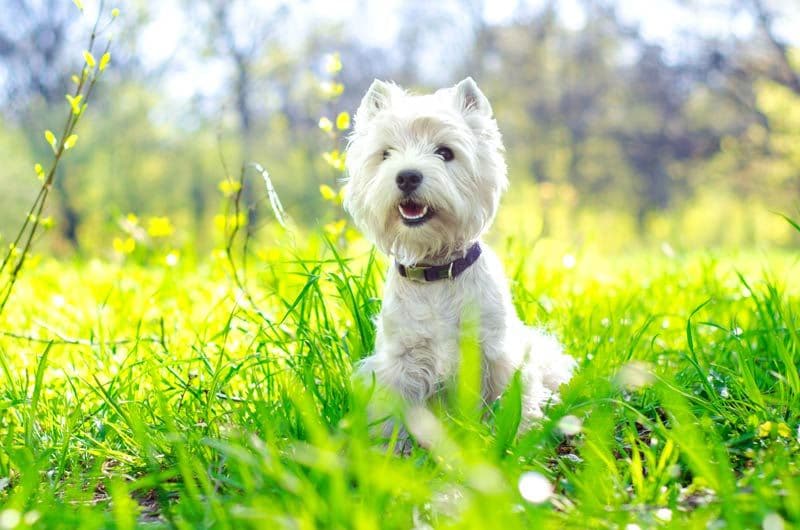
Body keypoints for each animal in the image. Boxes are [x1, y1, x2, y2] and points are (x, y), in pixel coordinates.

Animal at [344, 77, 576, 446]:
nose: (407, 176)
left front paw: (518, 436)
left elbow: (511, 401)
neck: (435, 272)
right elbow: (394, 414)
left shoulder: (496, 354)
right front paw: (390, 450)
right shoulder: (399, 362)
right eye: (386, 153)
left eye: (445, 153)